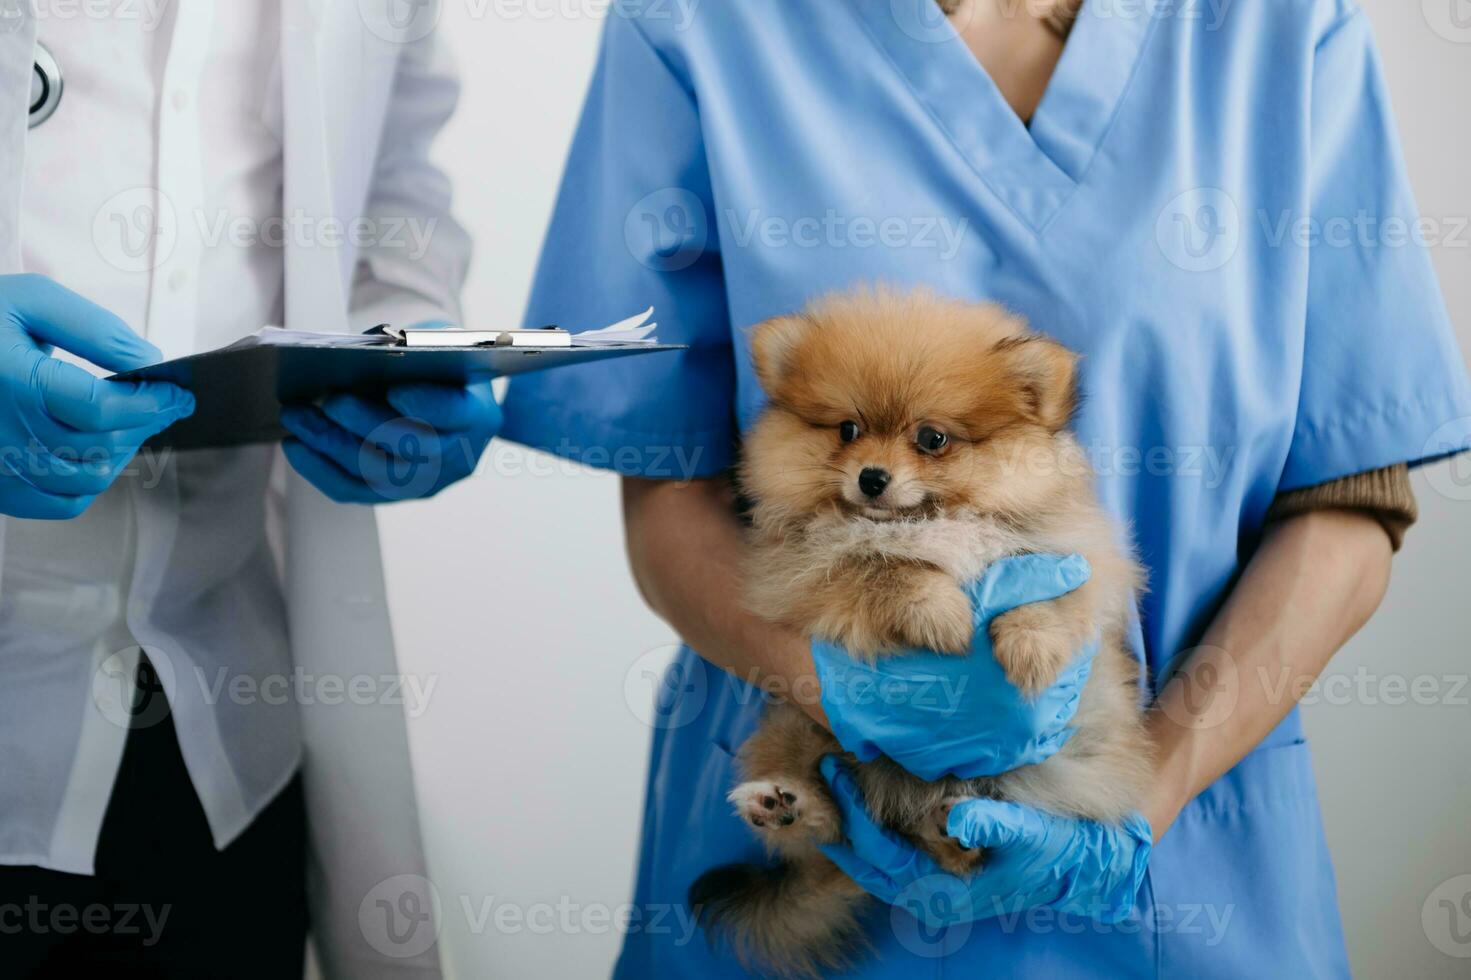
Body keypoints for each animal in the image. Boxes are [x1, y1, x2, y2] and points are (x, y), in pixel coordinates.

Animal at [694, 286, 1153, 971]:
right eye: (848, 430)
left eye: (932, 438)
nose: (872, 478)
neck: (928, 517)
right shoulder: (804, 571)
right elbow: (884, 568)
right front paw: (943, 615)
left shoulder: (1074, 558)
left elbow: (1046, 602)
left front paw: (1032, 649)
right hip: (799, 722)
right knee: (834, 822)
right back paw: (782, 805)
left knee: (955, 843)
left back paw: (953, 835)